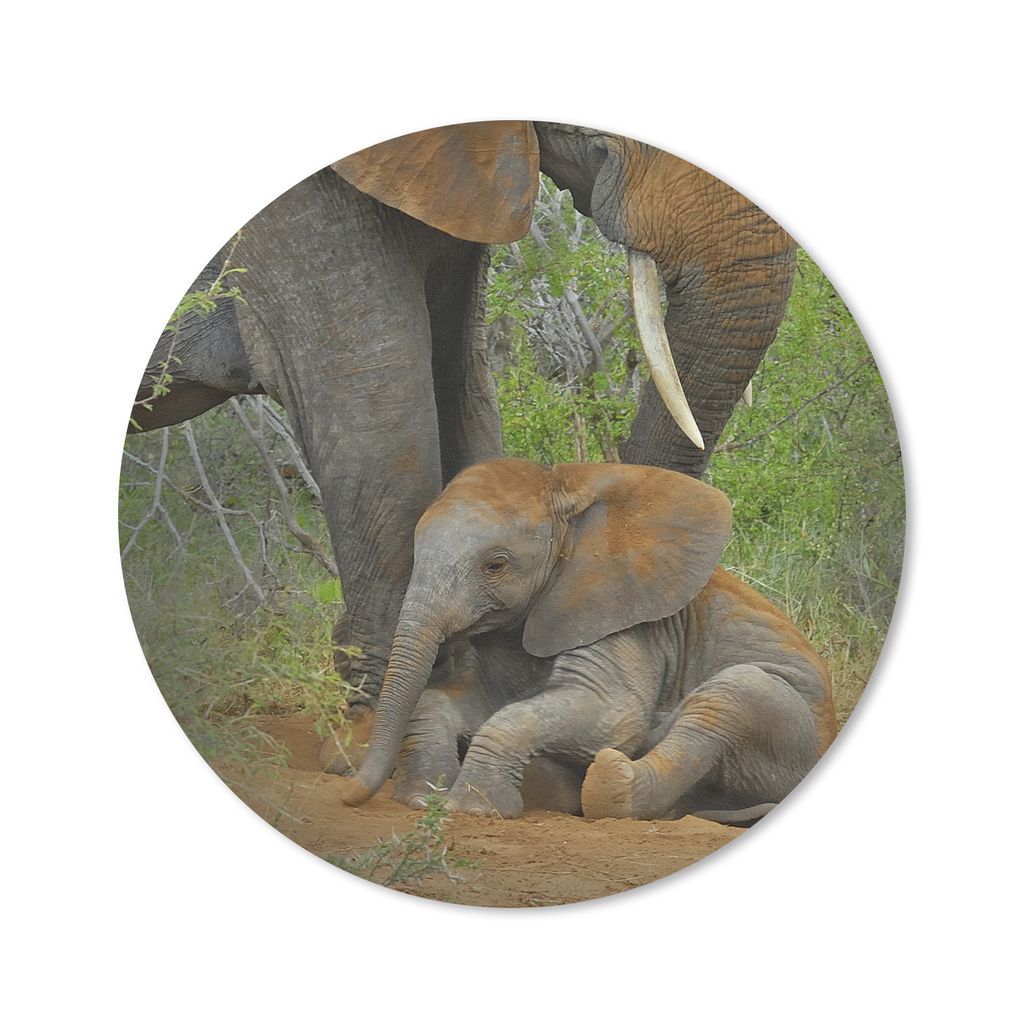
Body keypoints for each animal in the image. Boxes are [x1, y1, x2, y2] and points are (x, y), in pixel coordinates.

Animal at [336, 458, 836, 824]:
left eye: (496, 565)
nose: (350, 794)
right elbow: (461, 702)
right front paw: (423, 800)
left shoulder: (623, 619)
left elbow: (611, 716)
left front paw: (475, 809)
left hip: (792, 735)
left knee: (729, 696)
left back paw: (611, 782)